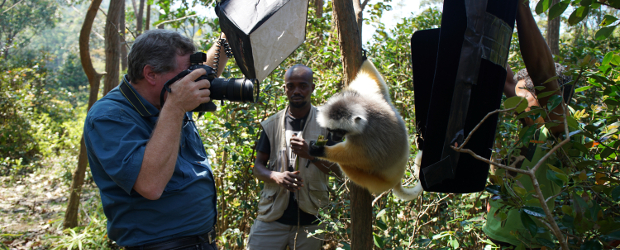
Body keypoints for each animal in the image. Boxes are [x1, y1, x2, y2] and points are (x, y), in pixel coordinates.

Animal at [308, 59, 424, 200]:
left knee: (345, 164)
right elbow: (374, 81)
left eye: (340, 131)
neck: (367, 116)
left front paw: (319, 150)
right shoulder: (370, 97)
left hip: (377, 182)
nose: (335, 137)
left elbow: (360, 158)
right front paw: (365, 58)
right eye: (331, 130)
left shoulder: (366, 138)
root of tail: (397, 180)